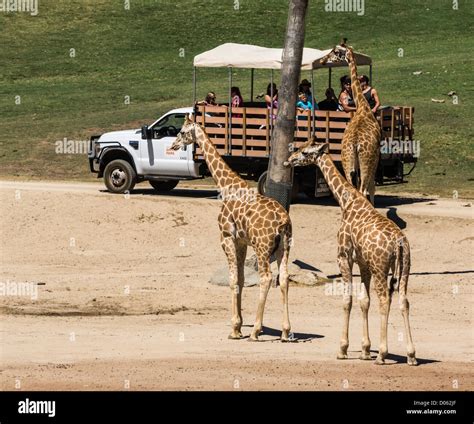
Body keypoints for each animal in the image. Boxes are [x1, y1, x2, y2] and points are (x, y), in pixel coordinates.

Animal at [168, 115, 290, 342]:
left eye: (182, 132)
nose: (173, 145)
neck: (227, 187)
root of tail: (283, 221)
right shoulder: (241, 241)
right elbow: (241, 280)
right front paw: (239, 327)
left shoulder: (226, 236)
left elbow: (233, 280)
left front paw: (235, 329)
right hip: (284, 247)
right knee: (284, 278)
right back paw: (286, 331)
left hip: (262, 247)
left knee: (267, 278)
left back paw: (256, 331)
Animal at [284, 141, 416, 366]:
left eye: (304, 152)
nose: (289, 160)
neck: (346, 202)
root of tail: (399, 243)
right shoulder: (363, 264)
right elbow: (364, 301)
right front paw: (364, 350)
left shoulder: (344, 257)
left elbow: (347, 300)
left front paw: (343, 349)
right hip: (404, 267)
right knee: (404, 302)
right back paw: (411, 355)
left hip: (380, 268)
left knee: (385, 300)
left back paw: (382, 354)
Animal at [320, 43, 380, 204]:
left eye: (335, 51)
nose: (322, 60)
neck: (362, 106)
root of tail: (354, 144)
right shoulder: (376, 157)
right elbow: (372, 188)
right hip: (366, 161)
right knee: (363, 189)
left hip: (347, 160)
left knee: (350, 189)